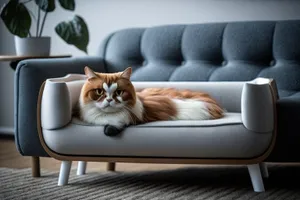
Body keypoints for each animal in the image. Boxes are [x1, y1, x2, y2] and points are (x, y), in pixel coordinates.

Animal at [78, 66, 224, 137]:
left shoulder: (130, 118)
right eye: (99, 92)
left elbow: (112, 127)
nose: (109, 99)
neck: (105, 117)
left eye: (119, 92)